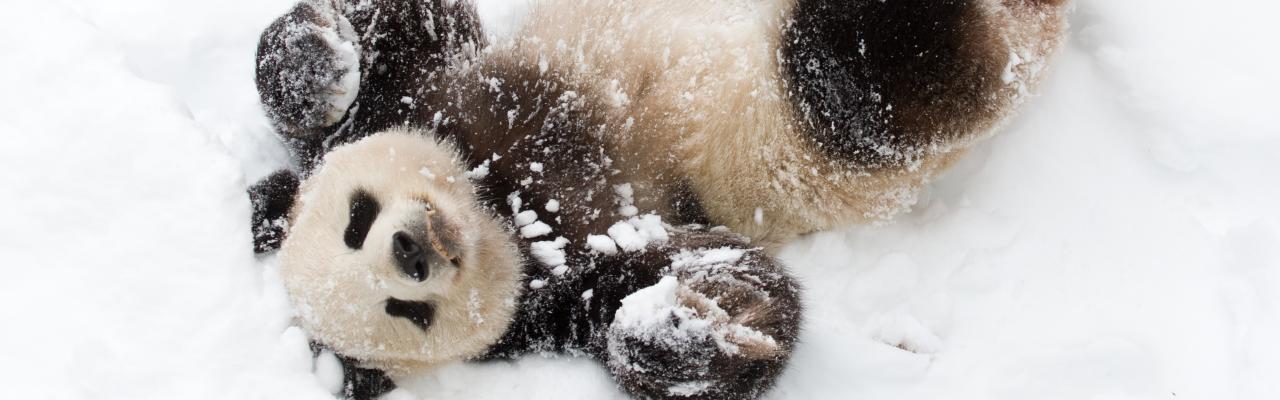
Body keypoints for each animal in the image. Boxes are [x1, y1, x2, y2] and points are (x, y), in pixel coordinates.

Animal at [249, 0, 1070, 397]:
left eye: (356, 220)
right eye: (405, 312)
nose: (412, 250)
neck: (502, 204)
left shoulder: (427, 93)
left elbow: (396, 28)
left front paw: (315, 62)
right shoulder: (566, 283)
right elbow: (710, 281)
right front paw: (691, 324)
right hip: (819, 128)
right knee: (866, 75)